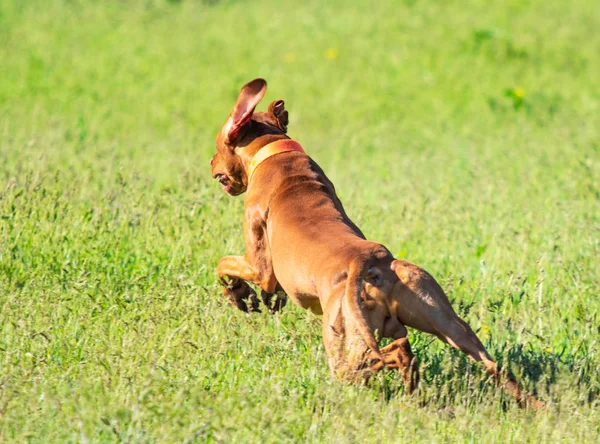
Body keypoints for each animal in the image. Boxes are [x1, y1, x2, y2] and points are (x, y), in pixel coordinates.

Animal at [210, 78, 540, 408]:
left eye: (217, 144)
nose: (211, 161)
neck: (275, 153)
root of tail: (372, 261)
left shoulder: (260, 264)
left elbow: (224, 264)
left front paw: (239, 295)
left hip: (344, 347)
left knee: (387, 356)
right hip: (449, 325)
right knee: (486, 363)